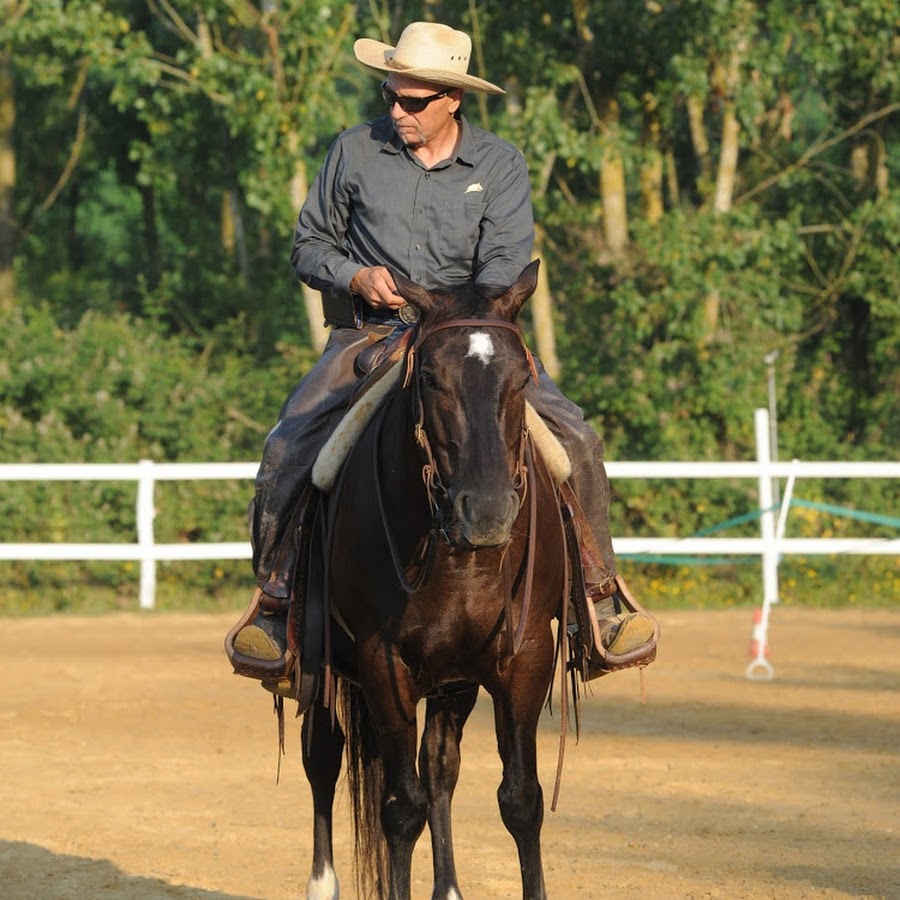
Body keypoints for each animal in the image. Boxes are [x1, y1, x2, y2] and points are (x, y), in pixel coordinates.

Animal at [298, 262, 568, 900]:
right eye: (431, 379)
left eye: (522, 378)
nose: (488, 512)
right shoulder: (383, 664)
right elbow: (402, 809)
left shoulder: (525, 657)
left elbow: (519, 800)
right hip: (317, 670)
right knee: (323, 759)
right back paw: (322, 883)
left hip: (452, 682)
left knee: (441, 767)